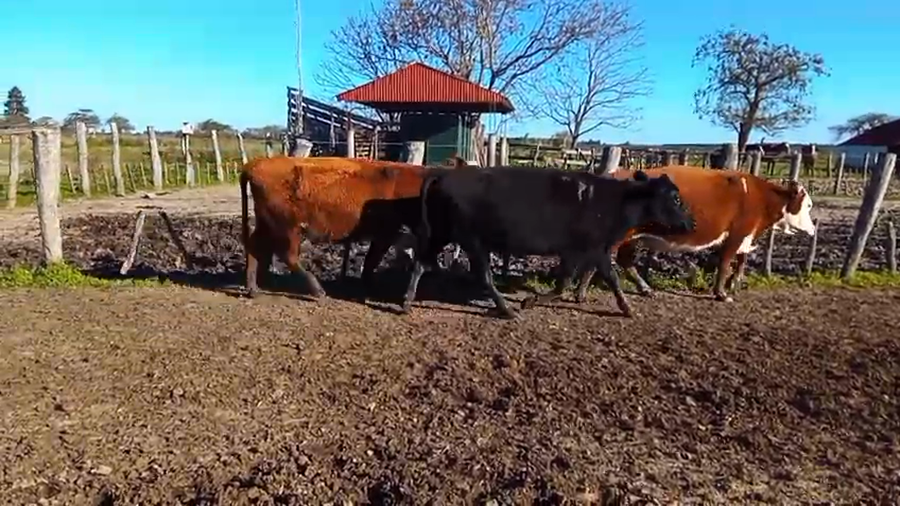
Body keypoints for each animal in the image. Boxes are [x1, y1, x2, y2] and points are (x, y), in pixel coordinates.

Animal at [239, 156, 428, 299]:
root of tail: (254, 164)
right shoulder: (386, 232)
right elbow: (371, 260)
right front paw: (371, 289)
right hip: (286, 226)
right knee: (287, 254)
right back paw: (318, 291)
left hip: (268, 222)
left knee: (255, 246)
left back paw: (253, 288)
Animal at [399, 166, 695, 319]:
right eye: (676, 198)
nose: (692, 223)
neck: (613, 201)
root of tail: (446, 174)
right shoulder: (595, 248)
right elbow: (610, 278)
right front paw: (627, 308)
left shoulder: (575, 251)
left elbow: (565, 281)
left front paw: (533, 300)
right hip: (472, 239)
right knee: (482, 276)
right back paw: (508, 310)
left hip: (443, 233)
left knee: (421, 263)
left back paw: (406, 302)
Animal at [571, 165, 815, 303]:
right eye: (809, 205)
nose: (813, 230)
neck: (759, 196)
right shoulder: (737, 233)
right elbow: (726, 263)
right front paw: (721, 294)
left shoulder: (745, 236)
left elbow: (741, 260)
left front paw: (734, 285)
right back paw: (581, 294)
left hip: (632, 237)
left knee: (625, 261)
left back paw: (645, 289)